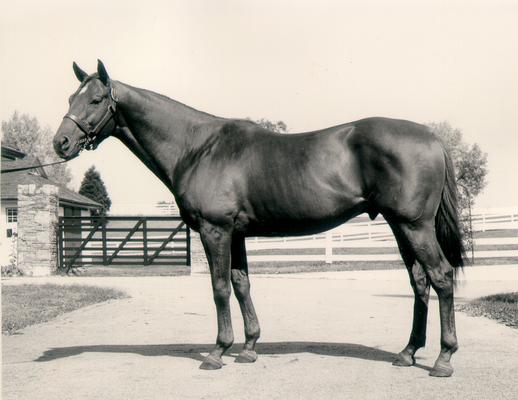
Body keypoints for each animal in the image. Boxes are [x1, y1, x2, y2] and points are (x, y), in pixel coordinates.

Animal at [54, 61, 466, 376]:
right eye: (71, 98)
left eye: (95, 100)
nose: (60, 143)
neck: (198, 147)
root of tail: (432, 137)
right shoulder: (235, 234)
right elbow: (241, 284)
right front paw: (250, 346)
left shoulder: (215, 231)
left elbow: (219, 288)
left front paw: (217, 352)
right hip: (400, 227)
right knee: (420, 283)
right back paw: (407, 353)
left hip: (414, 227)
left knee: (441, 278)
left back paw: (443, 359)